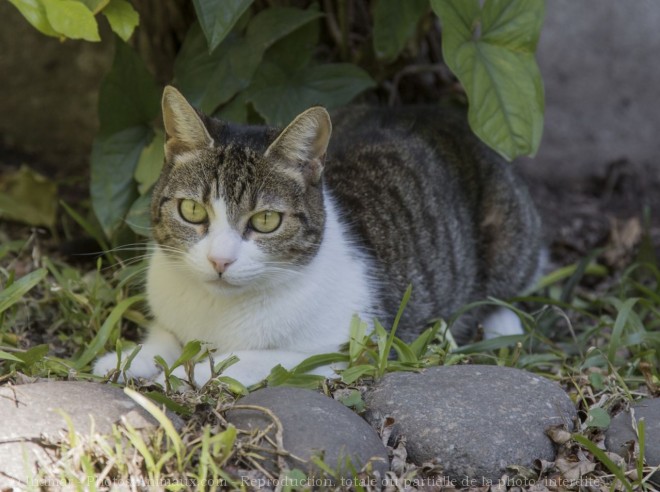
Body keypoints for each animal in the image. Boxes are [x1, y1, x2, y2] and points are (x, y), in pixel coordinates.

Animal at [93, 85, 540, 388]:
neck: (217, 312)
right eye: (192, 212)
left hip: (510, 238)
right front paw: (126, 359)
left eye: (267, 220)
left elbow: (256, 359)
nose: (220, 261)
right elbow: (164, 340)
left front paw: (194, 372)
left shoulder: (350, 349)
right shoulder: (170, 317)